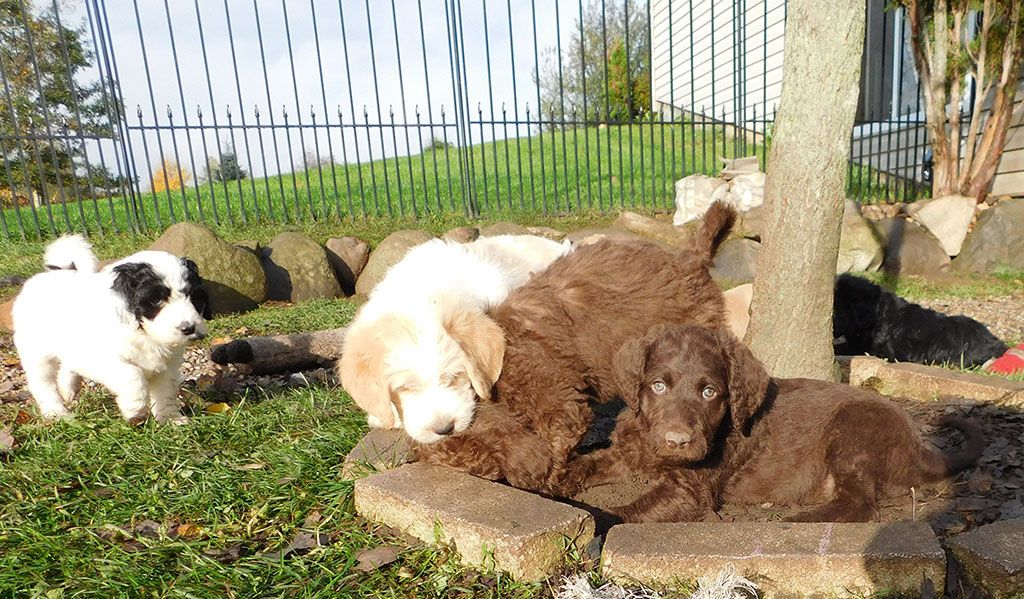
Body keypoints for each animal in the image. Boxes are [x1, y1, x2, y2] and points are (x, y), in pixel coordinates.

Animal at [12, 233, 209, 419]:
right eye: (156, 300)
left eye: (193, 296)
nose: (189, 328)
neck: (143, 331)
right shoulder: (105, 358)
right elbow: (133, 375)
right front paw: (135, 409)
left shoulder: (168, 366)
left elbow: (165, 392)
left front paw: (170, 419)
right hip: (36, 354)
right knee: (43, 383)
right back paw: (56, 412)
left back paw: (68, 389)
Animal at [411, 202, 741, 493]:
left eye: (476, 452)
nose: (486, 474)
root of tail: (691, 257)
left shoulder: (555, 396)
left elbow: (556, 443)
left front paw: (552, 481)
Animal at [569, 325, 983, 520]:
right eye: (657, 385)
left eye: (709, 392)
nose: (677, 441)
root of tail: (919, 443)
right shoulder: (625, 451)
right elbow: (581, 466)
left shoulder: (689, 490)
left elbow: (621, 513)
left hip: (853, 428)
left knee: (861, 504)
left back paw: (799, 521)